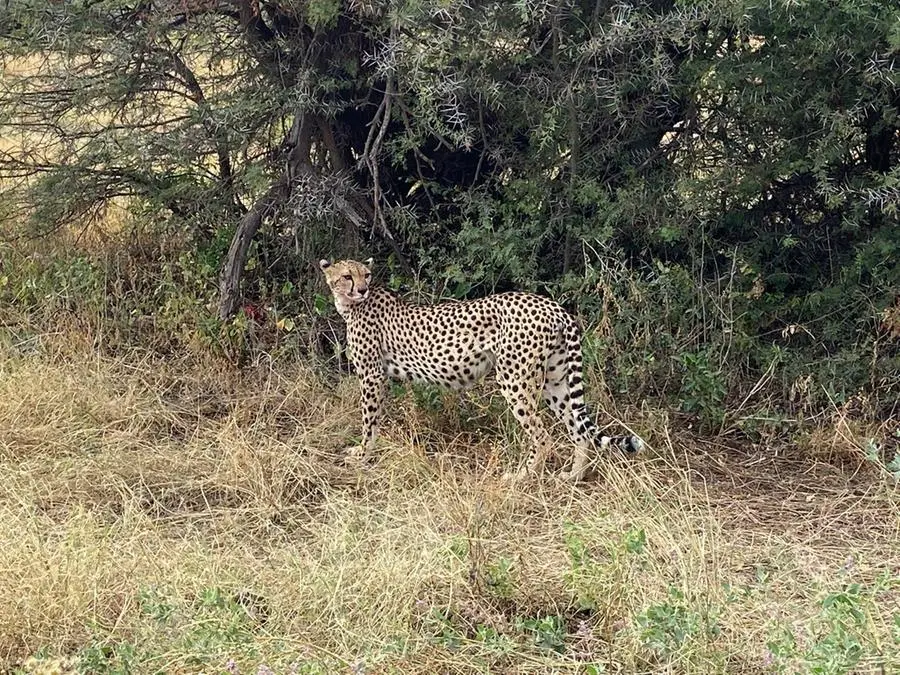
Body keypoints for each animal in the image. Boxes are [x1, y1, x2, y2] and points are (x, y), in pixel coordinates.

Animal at [316, 256, 640, 484]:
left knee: (542, 435)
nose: (362, 289)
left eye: (366, 274)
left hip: (514, 379)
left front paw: (362, 454)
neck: (352, 305)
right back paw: (573, 476)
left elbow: (369, 421)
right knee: (579, 430)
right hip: (555, 380)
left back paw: (522, 476)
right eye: (347, 276)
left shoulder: (372, 376)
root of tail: (553, 306)